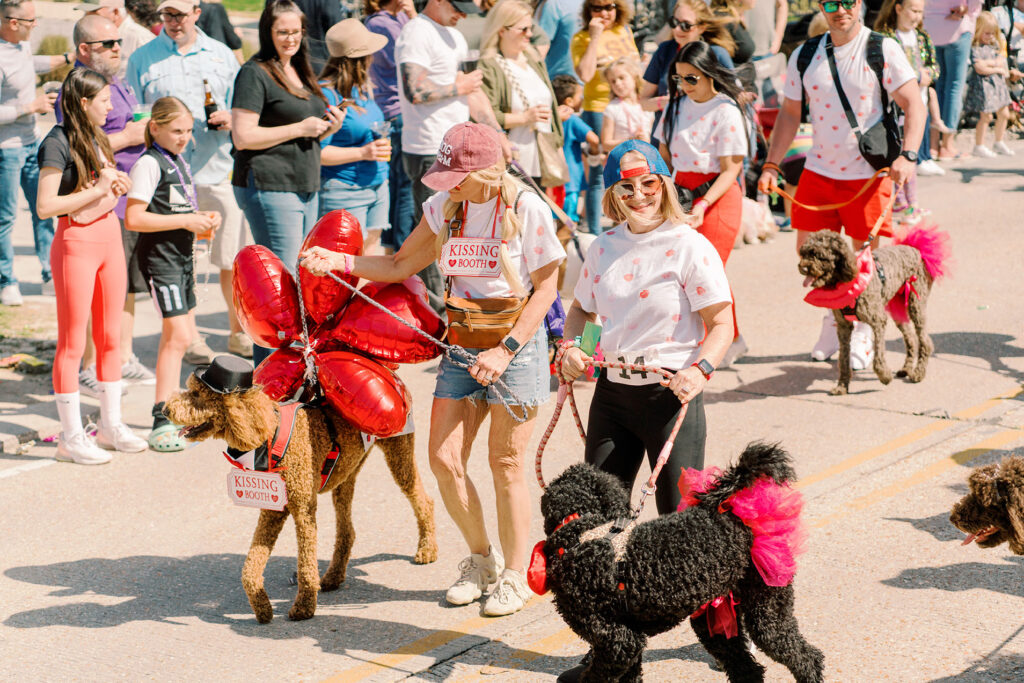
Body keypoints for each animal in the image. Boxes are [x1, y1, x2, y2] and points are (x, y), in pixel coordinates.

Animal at [165, 362, 438, 626]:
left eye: (197, 394)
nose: (165, 410)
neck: (271, 436)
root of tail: (391, 373)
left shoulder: (304, 509)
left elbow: (306, 563)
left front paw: (304, 607)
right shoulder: (273, 510)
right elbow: (249, 568)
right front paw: (263, 608)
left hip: (398, 452)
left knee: (424, 501)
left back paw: (427, 549)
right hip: (345, 474)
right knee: (347, 532)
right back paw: (333, 576)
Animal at [536, 440, 823, 679]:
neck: (580, 528)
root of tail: (734, 515)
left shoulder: (617, 643)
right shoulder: (630, 643)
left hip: (766, 609)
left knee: (807, 658)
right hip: (716, 621)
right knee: (748, 669)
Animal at [794, 224, 946, 395]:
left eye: (819, 255)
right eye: (803, 253)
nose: (802, 267)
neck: (848, 281)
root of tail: (915, 249)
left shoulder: (878, 321)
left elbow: (878, 356)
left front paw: (885, 376)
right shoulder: (843, 327)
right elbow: (843, 359)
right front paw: (842, 386)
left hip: (916, 305)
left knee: (925, 341)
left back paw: (918, 373)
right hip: (897, 309)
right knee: (911, 338)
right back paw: (906, 369)